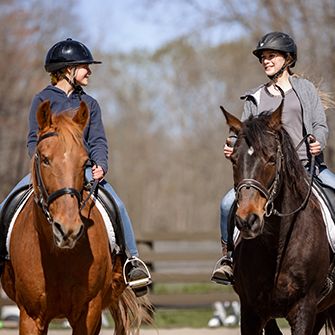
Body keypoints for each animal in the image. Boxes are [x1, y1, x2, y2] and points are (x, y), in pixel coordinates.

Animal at [0, 100, 148, 335]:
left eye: (85, 161)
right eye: (44, 159)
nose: (68, 229)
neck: (57, 255)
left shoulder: (88, 314)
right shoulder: (30, 317)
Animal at [222, 103, 335, 335]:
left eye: (272, 159)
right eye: (234, 160)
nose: (248, 221)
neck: (278, 243)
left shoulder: (304, 308)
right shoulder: (252, 312)